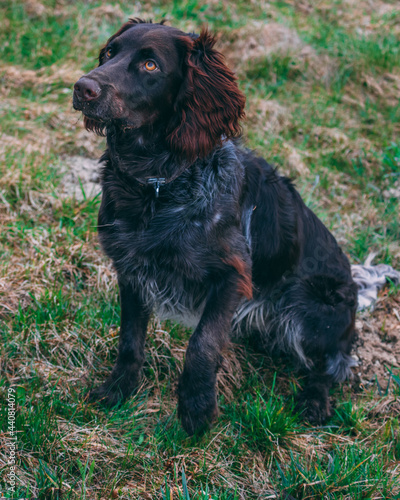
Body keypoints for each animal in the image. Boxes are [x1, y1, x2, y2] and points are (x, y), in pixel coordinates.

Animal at [73, 19, 358, 434]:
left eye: (150, 65)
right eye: (110, 52)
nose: (82, 87)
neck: (157, 184)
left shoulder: (233, 275)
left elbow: (202, 344)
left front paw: (196, 407)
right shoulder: (131, 269)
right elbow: (129, 339)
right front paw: (119, 388)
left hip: (316, 308)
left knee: (330, 365)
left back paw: (315, 400)